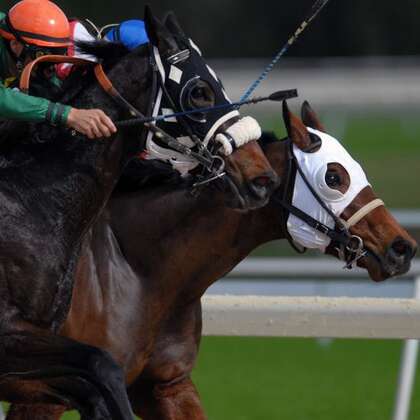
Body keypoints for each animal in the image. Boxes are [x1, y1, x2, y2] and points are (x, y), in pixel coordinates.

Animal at [0, 7, 278, 420]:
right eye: (199, 90)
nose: (262, 177)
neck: (31, 199)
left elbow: (94, 386)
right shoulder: (10, 336)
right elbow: (102, 366)